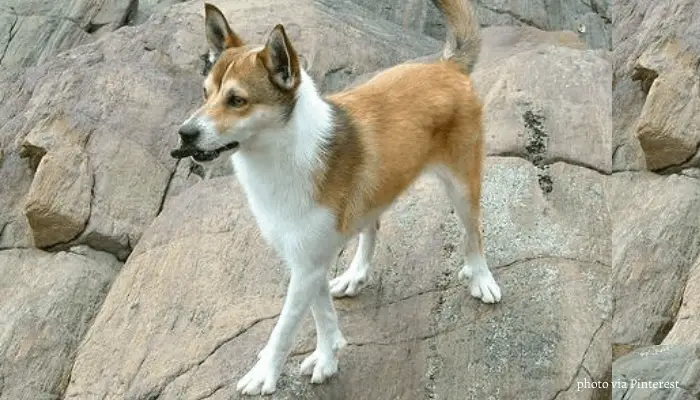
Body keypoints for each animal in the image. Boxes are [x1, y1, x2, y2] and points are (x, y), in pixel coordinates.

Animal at [172, 0, 500, 394]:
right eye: (205, 93)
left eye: (237, 100)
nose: (185, 133)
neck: (284, 151)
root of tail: (448, 66)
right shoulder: (306, 259)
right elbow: (321, 312)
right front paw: (328, 356)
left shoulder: (307, 265)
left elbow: (284, 327)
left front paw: (265, 373)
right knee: (373, 226)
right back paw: (355, 275)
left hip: (462, 187)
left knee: (473, 233)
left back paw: (481, 278)